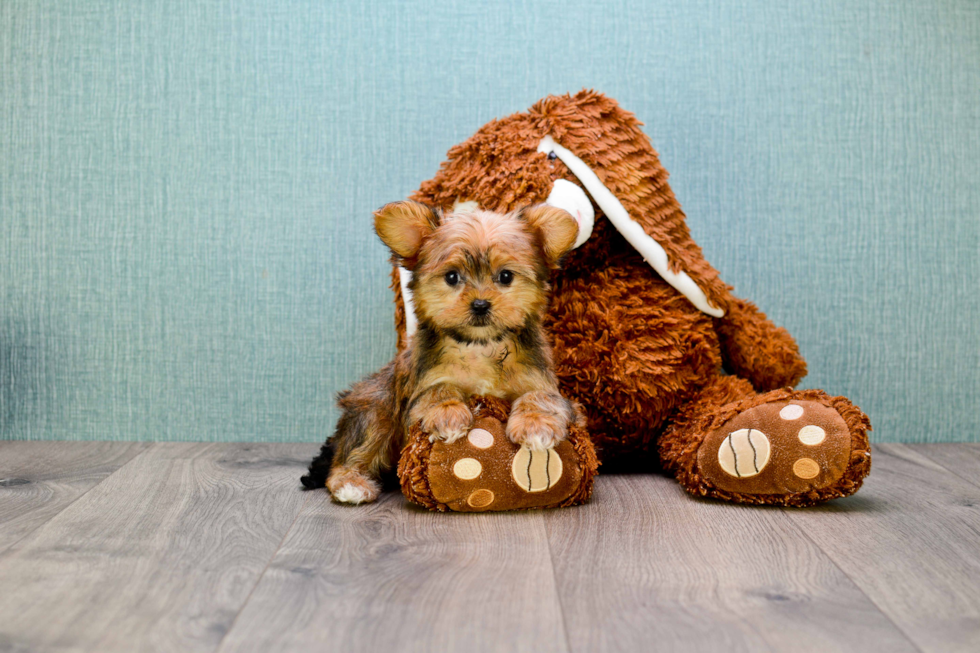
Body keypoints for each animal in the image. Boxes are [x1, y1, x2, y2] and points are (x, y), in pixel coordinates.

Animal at [302, 201, 580, 502]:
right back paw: (350, 484)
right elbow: (437, 389)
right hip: (376, 408)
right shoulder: (421, 383)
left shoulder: (541, 380)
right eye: (452, 277)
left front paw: (535, 425)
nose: (480, 305)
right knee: (351, 454)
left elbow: (540, 396)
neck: (479, 346)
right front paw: (448, 414)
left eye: (506, 276)